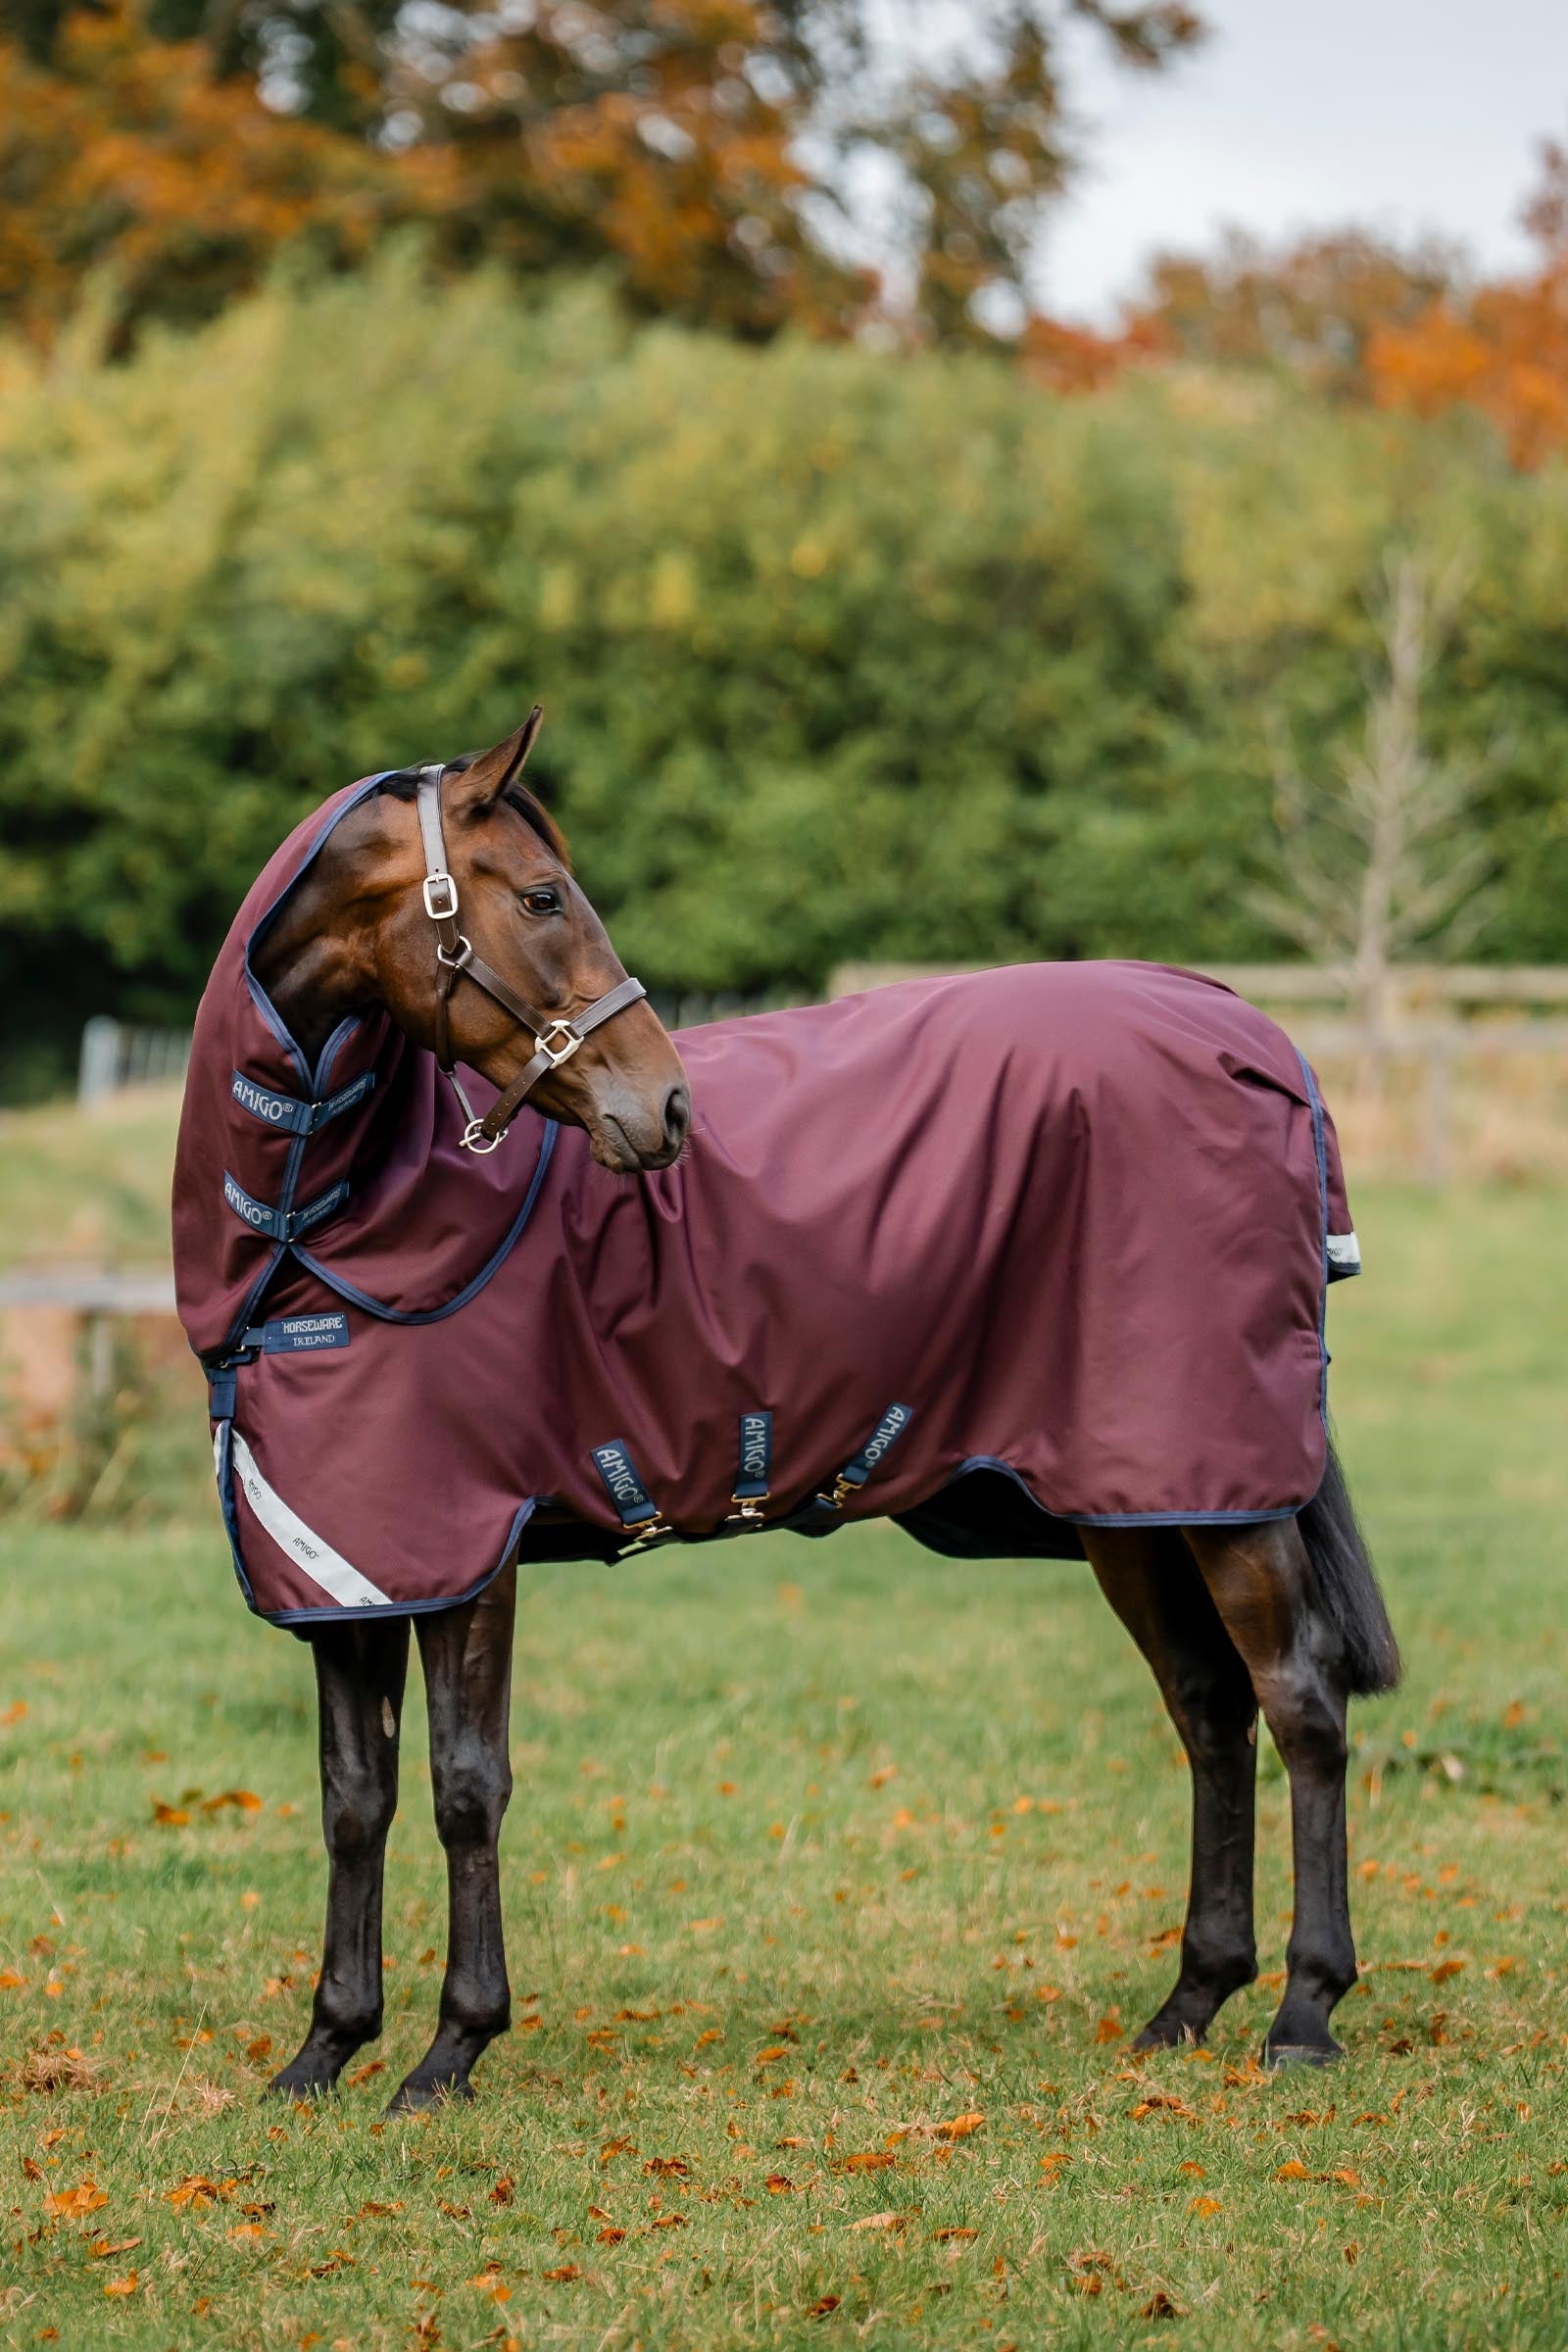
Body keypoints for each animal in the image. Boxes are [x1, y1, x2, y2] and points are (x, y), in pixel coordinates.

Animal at [172, 714, 1399, 2113]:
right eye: (540, 897)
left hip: (1220, 1493)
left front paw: (449, 2052)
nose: (664, 1108)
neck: (318, 1232)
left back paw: (1303, 2010)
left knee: (1299, 1700)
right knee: (1207, 1705)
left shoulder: (465, 1550)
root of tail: (1252, 1033)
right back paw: (1190, 2000)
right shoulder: (350, 1563)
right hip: (1134, 1503)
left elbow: (464, 1788)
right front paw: (325, 2048)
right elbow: (354, 1796)